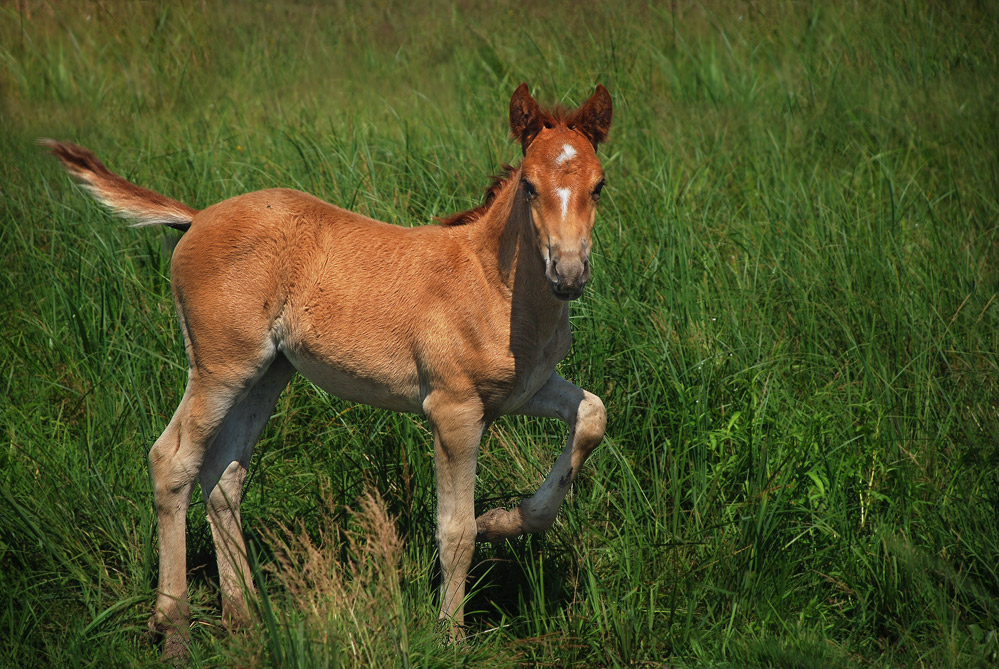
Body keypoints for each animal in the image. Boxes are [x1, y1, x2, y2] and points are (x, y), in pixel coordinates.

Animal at [45, 83, 608, 656]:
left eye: (599, 186)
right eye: (529, 187)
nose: (568, 274)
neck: (494, 286)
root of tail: (197, 216)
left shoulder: (525, 391)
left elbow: (592, 416)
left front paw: (503, 520)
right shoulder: (454, 412)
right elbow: (455, 529)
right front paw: (450, 635)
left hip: (267, 373)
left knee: (224, 475)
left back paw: (245, 619)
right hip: (220, 367)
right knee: (172, 460)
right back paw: (174, 629)